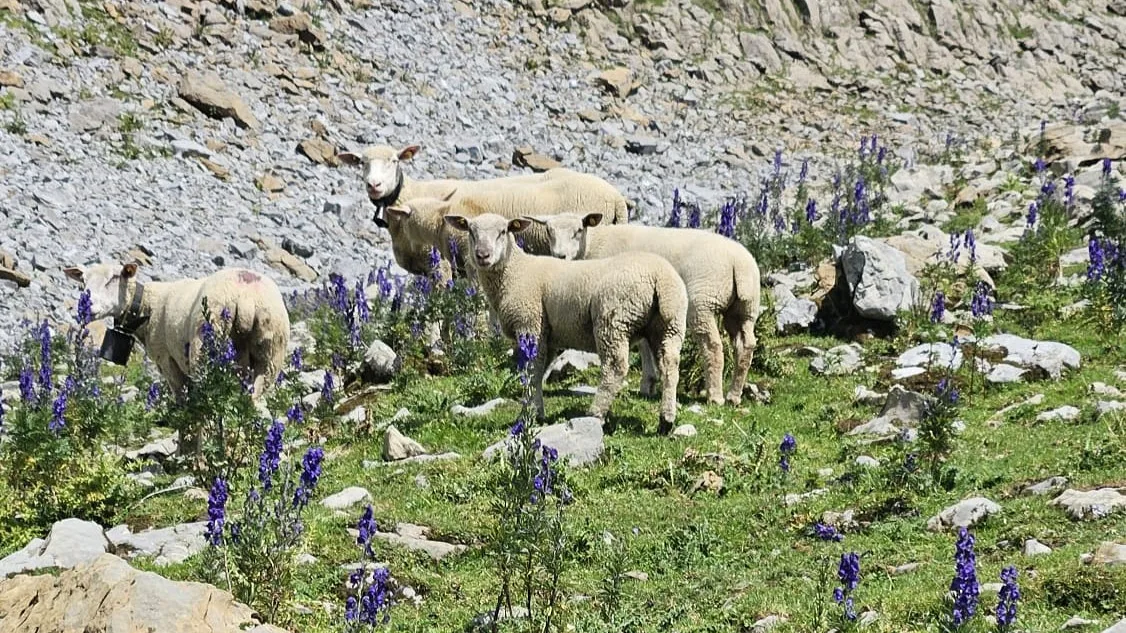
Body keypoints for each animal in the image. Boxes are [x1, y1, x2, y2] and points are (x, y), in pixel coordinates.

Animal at [62, 262, 290, 401]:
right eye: (83, 281)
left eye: (114, 278)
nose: (86, 306)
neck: (147, 305)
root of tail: (246, 298)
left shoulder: (166, 359)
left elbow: (181, 397)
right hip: (270, 355)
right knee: (252, 399)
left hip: (204, 346)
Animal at [443, 212, 688, 433]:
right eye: (470, 231)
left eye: (503, 231)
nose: (482, 255)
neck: (515, 272)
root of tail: (660, 277)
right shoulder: (548, 335)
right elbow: (539, 373)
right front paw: (534, 411)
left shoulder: (530, 325)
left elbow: (532, 372)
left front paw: (531, 415)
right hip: (669, 324)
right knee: (670, 365)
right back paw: (666, 421)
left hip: (612, 321)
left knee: (615, 367)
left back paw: (595, 414)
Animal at [529, 212, 762, 406]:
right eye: (549, 231)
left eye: (578, 230)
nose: (559, 256)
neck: (592, 244)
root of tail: (739, 263)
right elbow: (645, 344)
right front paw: (649, 382)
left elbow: (642, 345)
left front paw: (647, 383)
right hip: (744, 308)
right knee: (746, 345)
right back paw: (734, 396)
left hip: (703, 302)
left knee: (712, 346)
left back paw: (715, 396)